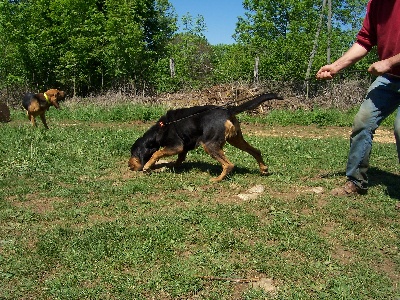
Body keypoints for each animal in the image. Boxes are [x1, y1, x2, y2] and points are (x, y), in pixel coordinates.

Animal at [130, 93, 282, 183]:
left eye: (133, 152)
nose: (129, 165)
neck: (160, 129)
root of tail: (228, 110)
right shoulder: (183, 149)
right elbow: (177, 160)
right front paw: (167, 166)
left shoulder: (176, 146)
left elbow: (156, 153)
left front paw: (148, 166)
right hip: (236, 139)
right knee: (256, 151)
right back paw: (263, 169)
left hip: (209, 144)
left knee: (229, 164)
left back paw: (217, 180)